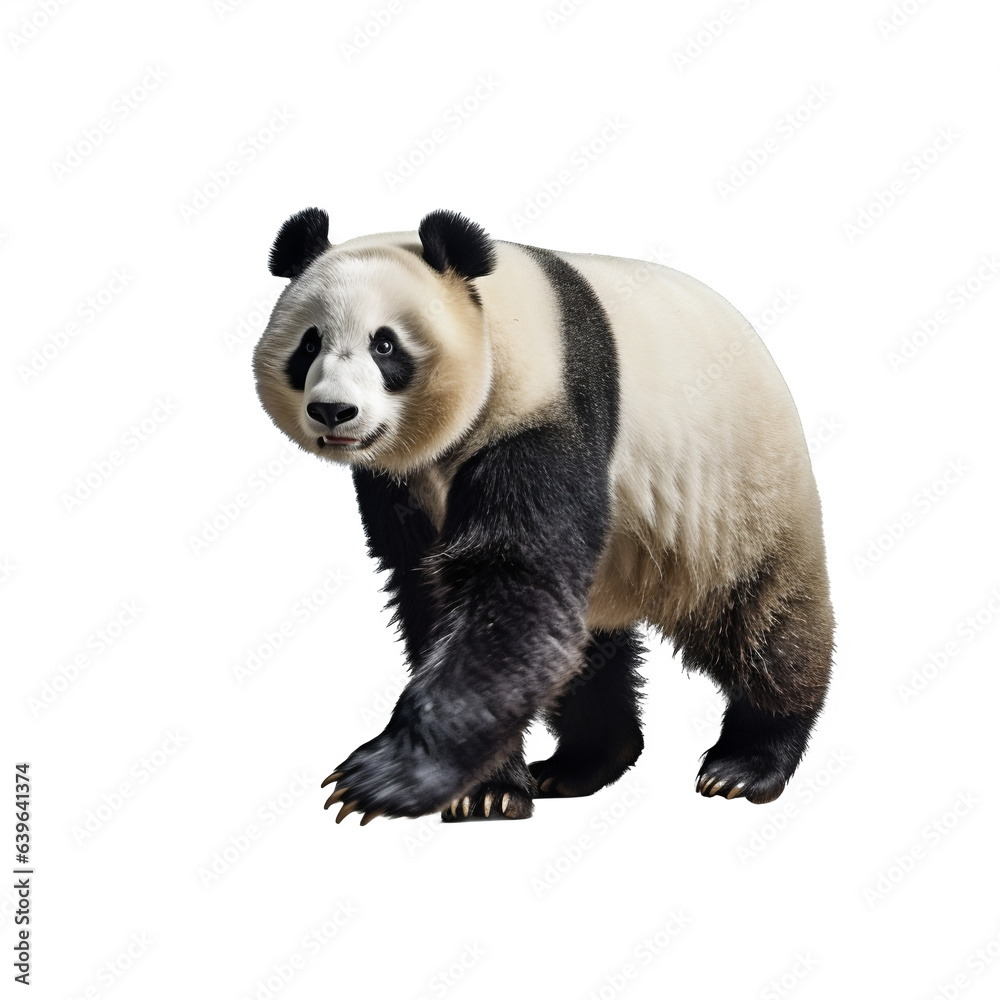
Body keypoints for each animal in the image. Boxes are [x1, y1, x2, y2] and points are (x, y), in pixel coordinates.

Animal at [253, 207, 834, 825]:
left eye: (384, 345)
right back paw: (583, 762)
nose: (333, 411)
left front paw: (380, 780)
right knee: (589, 649)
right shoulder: (401, 482)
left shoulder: (545, 412)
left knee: (763, 618)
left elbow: (514, 588)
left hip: (740, 498)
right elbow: (430, 591)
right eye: (309, 343)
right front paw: (486, 788)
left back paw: (748, 761)